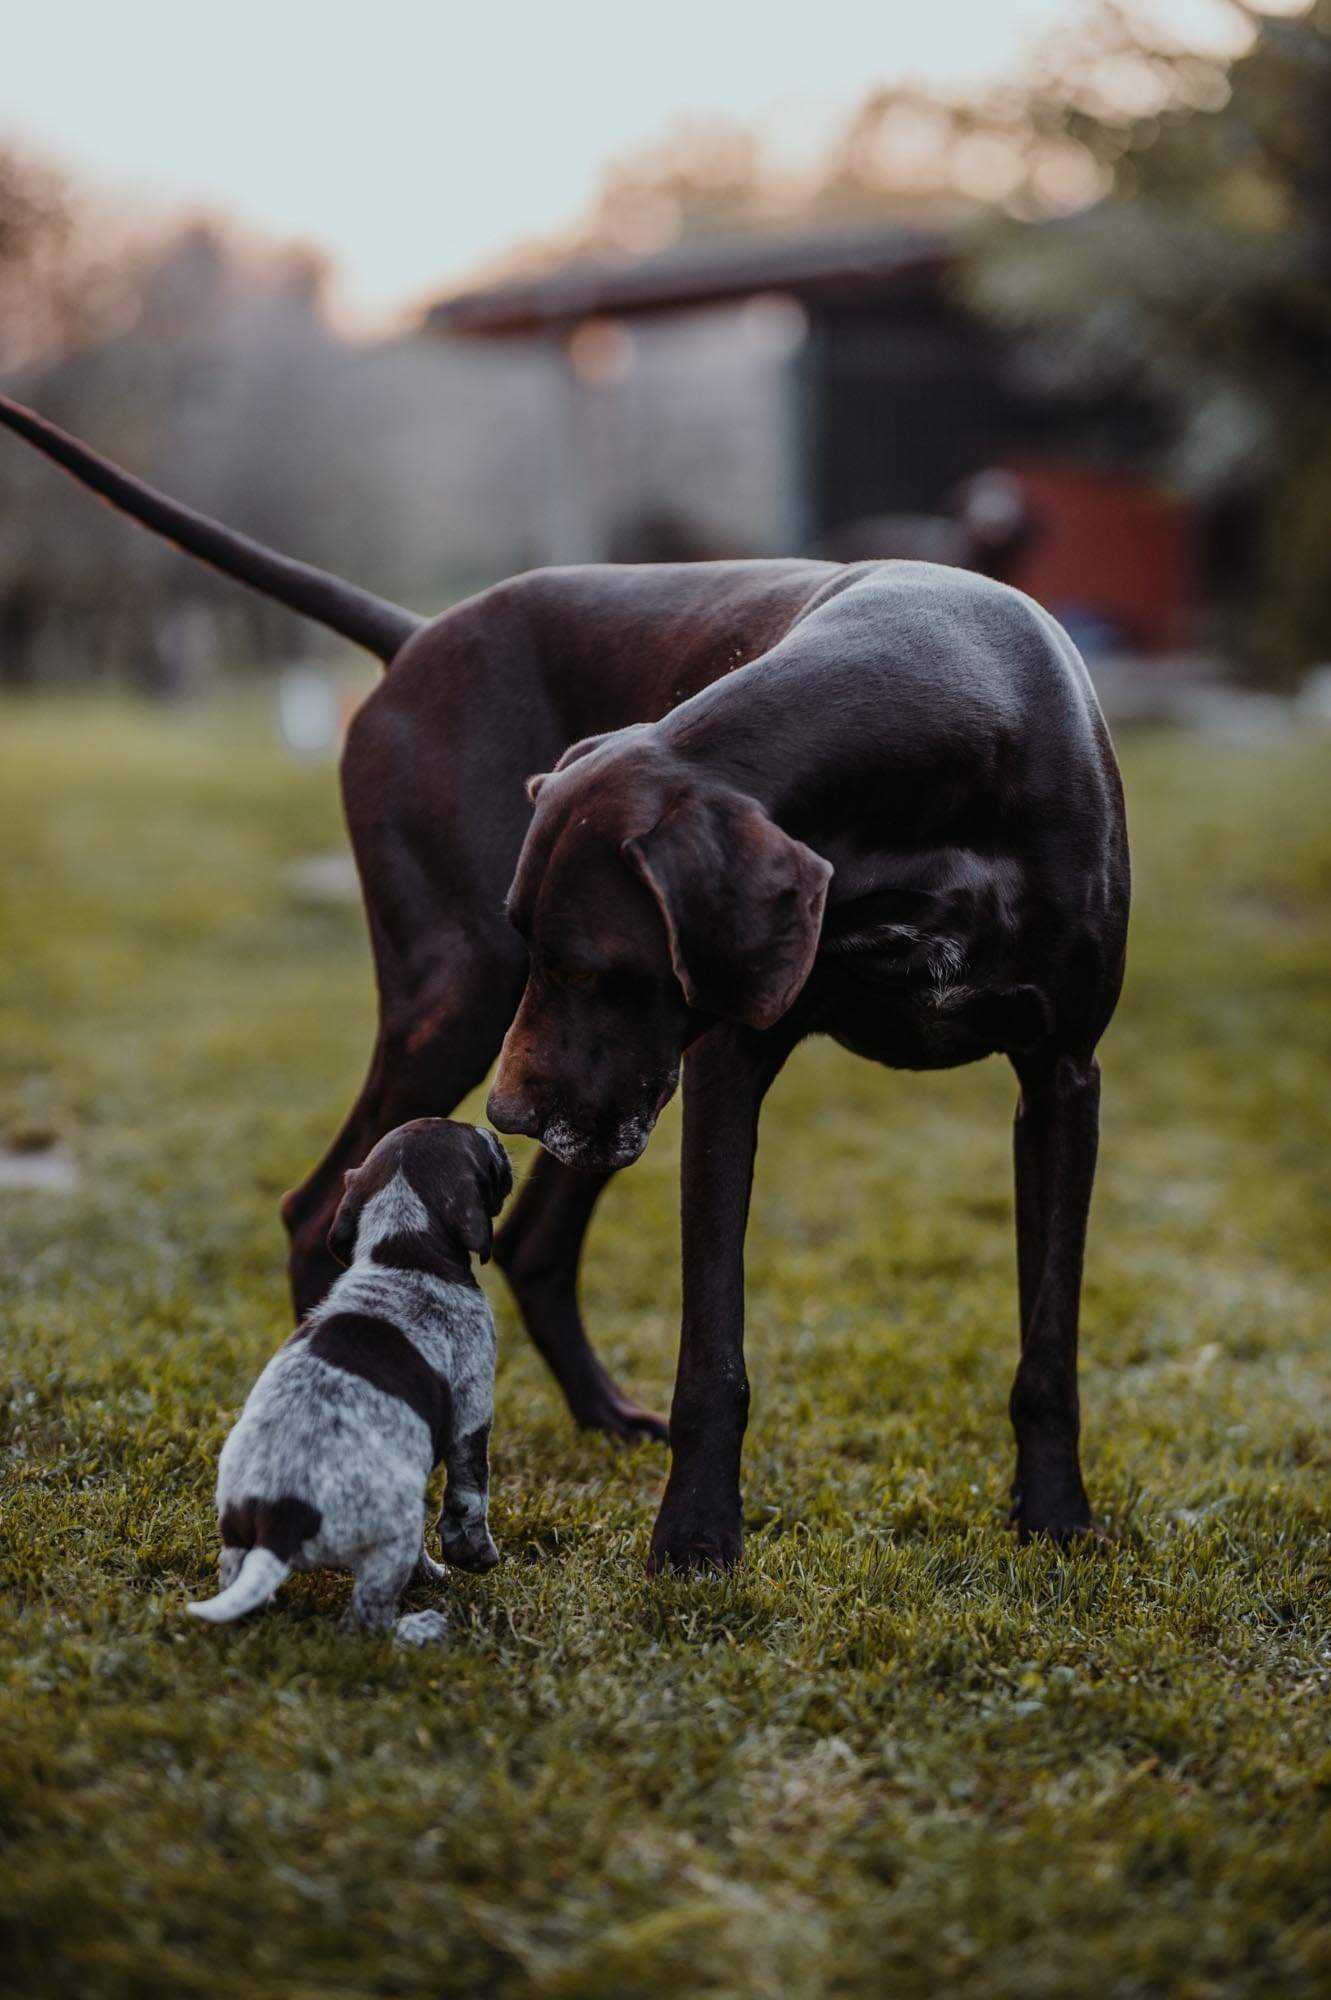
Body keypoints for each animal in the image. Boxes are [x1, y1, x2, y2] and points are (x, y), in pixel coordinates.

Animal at [0, 394, 1127, 1576]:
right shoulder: (727, 1063)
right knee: (317, 1211)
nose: (507, 1115)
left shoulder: (1060, 1077)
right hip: (463, 1005)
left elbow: (1047, 1340)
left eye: (590, 962)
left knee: (533, 1238)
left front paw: (1055, 1515)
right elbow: (712, 1350)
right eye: (537, 939)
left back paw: (596, 1410)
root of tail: (417, 635)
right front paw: (697, 1532)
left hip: (601, 1079)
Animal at [188, 1128, 509, 1640]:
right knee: (369, 1617)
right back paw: (416, 1629)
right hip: (394, 1532)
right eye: (486, 1146)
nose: (500, 1136)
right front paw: (472, 1557)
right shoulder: (472, 1407)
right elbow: (470, 1494)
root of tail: (283, 1517)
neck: (401, 1254)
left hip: (238, 1539)